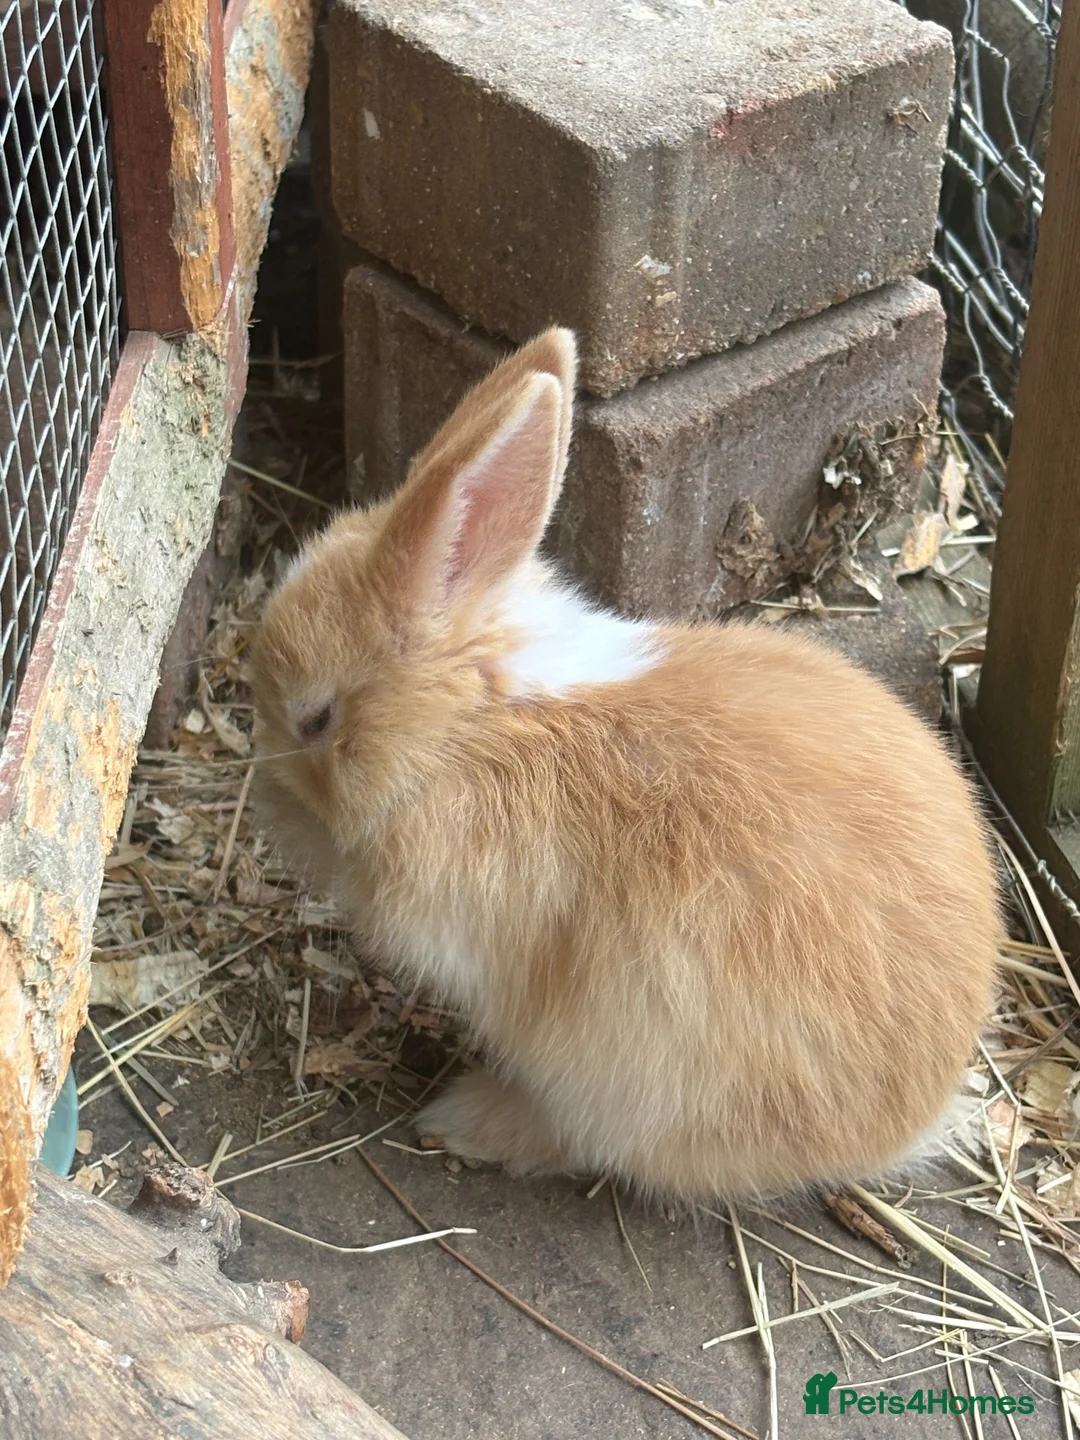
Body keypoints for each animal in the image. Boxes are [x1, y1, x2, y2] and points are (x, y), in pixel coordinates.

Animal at [250, 327, 1002, 1201]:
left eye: (314, 719)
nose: (268, 800)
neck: (470, 727)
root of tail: (917, 1115)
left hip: (628, 1084)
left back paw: (466, 1119)